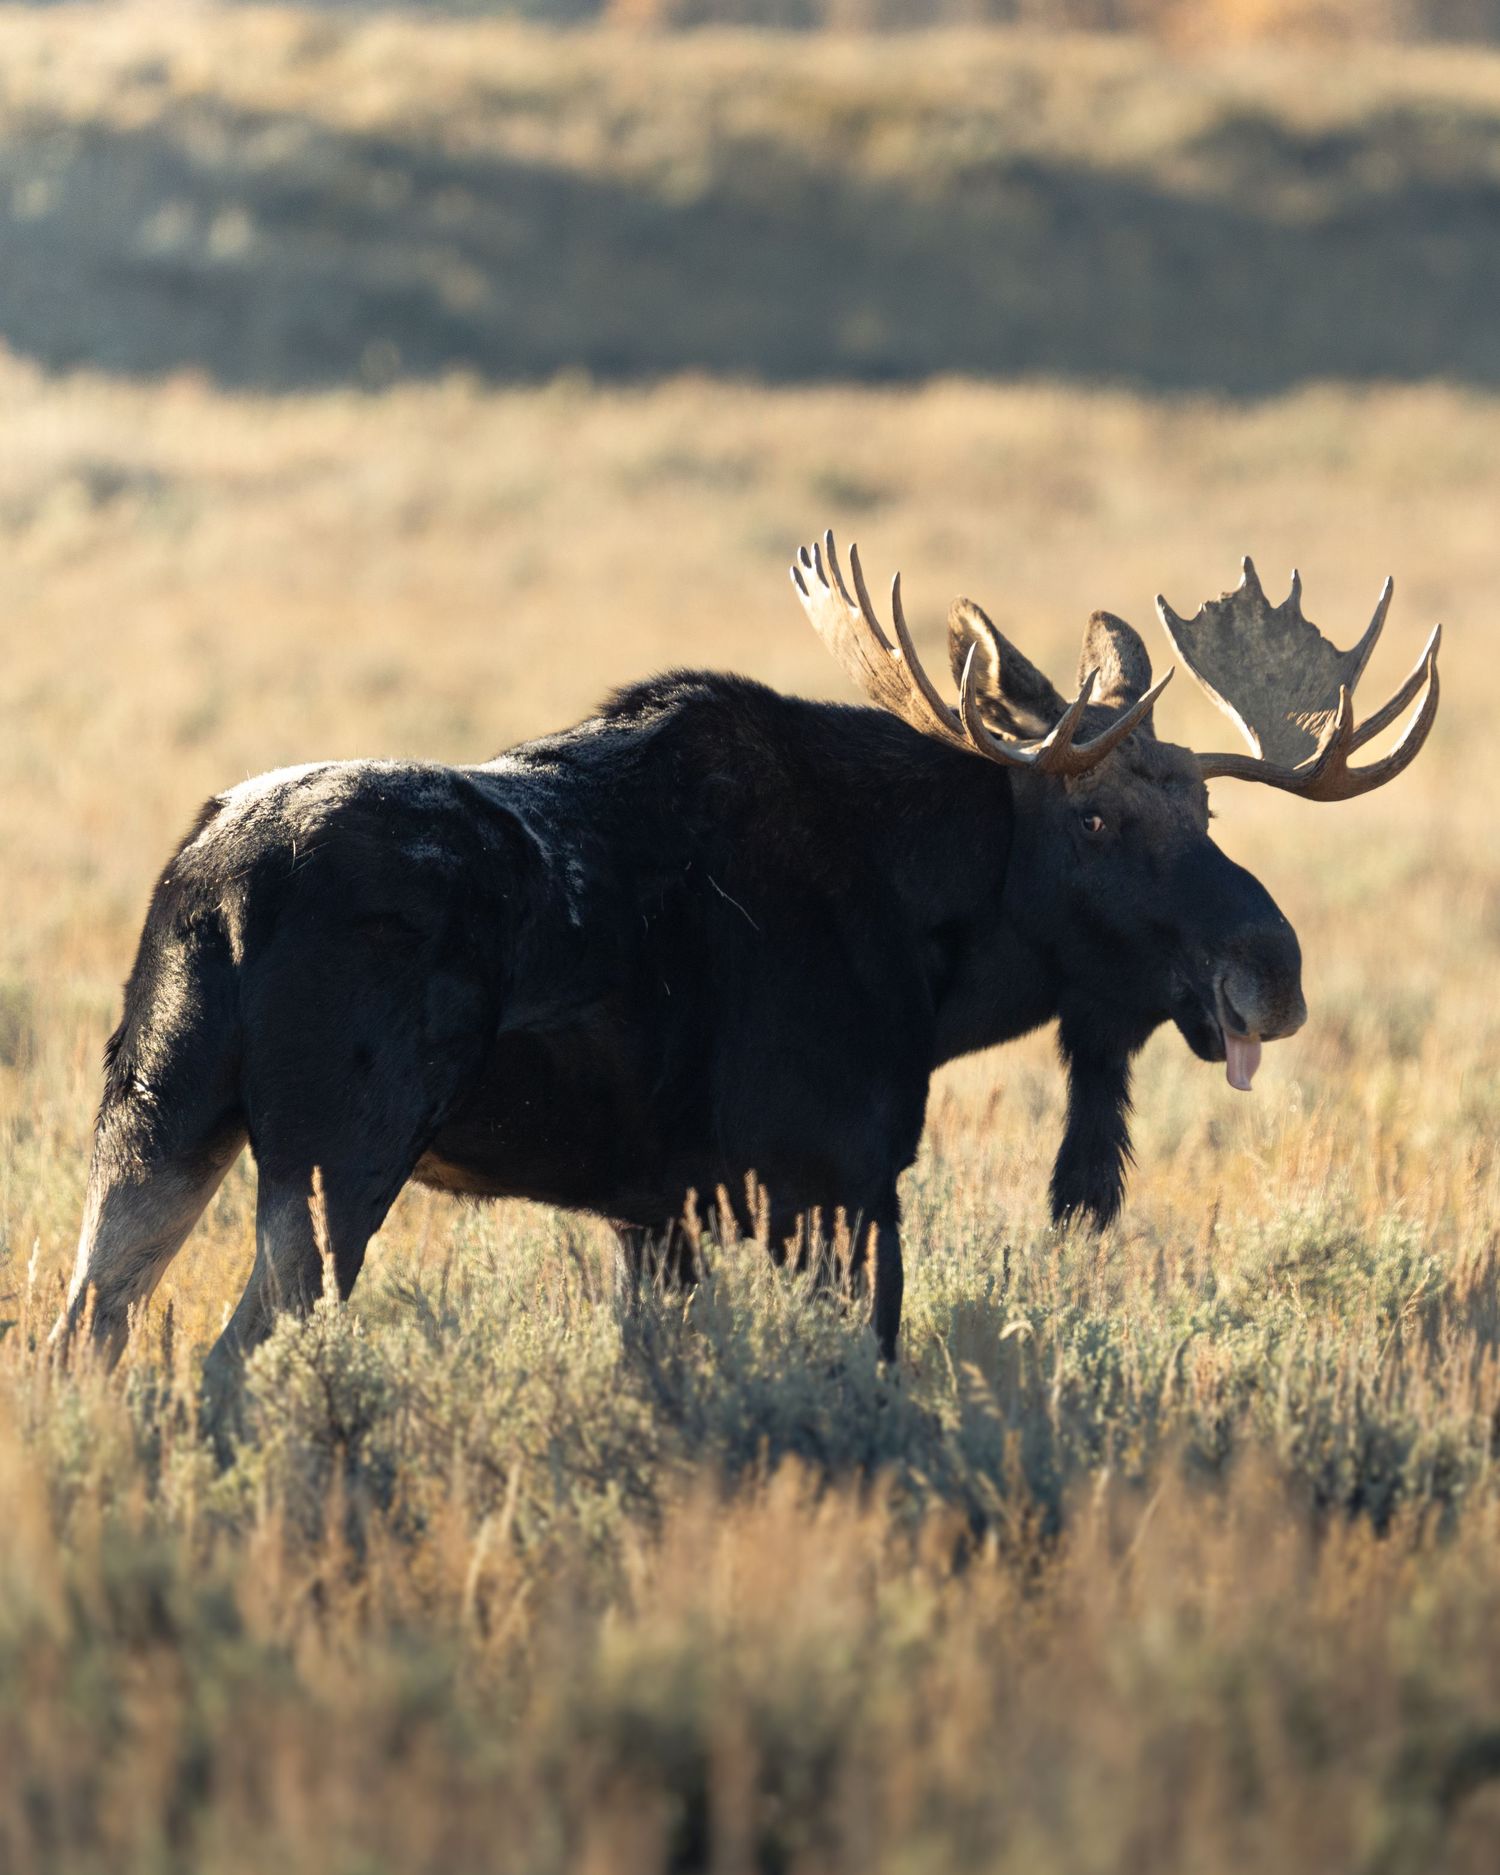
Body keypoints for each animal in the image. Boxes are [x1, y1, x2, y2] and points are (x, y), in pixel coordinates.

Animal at [52, 533, 1440, 1400]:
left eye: (1207, 812)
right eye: (1098, 820)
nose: (1274, 970)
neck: (935, 954)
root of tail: (209, 890)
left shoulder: (656, 1209)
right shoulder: (833, 1178)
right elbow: (868, 1370)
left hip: (157, 1123)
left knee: (86, 1340)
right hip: (340, 1156)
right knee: (230, 1360)